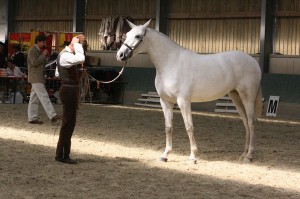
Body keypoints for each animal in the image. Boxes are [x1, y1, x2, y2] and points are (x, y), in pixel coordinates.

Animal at [116, 19, 262, 163]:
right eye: (126, 35)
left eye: (137, 36)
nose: (120, 55)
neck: (171, 63)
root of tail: (253, 61)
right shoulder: (165, 101)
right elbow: (168, 127)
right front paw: (165, 154)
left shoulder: (183, 101)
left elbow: (189, 127)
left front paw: (192, 156)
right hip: (235, 96)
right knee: (245, 122)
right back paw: (243, 154)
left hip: (247, 97)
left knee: (251, 122)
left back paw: (249, 155)